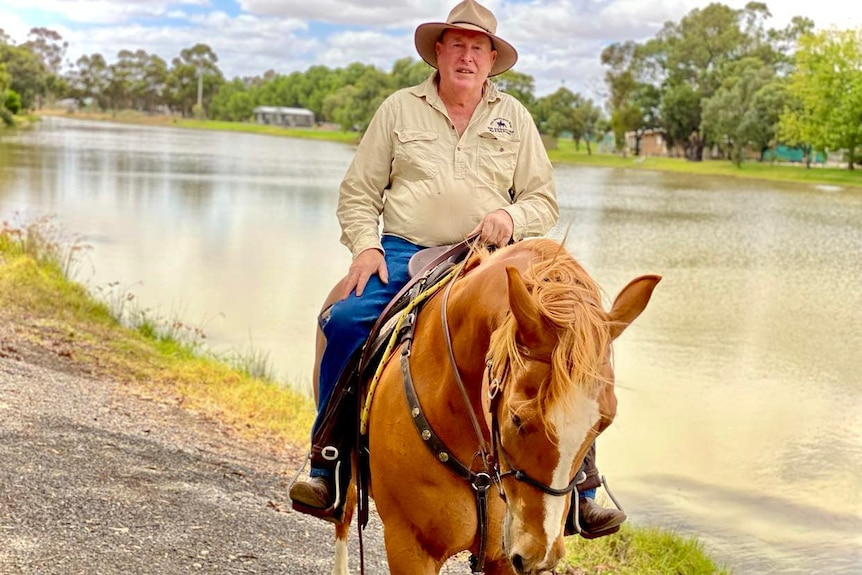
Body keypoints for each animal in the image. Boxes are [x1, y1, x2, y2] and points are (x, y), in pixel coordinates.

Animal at [318, 238, 660, 575]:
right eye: (517, 419)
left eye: (604, 424)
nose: (540, 554)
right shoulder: (410, 548)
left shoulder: (503, 557)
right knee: (344, 516)